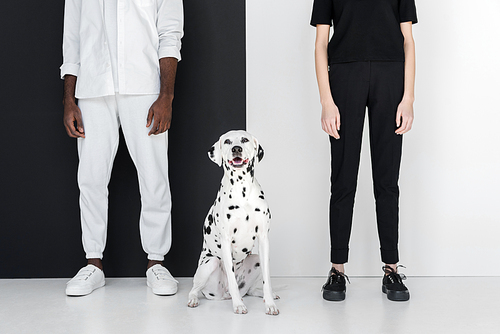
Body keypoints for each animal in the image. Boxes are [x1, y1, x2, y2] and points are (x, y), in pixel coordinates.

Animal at [189, 129, 280, 314]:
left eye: (244, 140)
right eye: (227, 141)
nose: (236, 149)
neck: (241, 189)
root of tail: (223, 295)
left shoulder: (263, 239)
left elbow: (267, 279)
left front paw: (269, 304)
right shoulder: (225, 241)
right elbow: (231, 279)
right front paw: (238, 305)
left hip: (256, 259)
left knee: (250, 290)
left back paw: (265, 295)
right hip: (210, 263)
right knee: (194, 289)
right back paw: (194, 299)